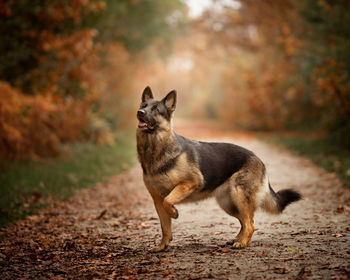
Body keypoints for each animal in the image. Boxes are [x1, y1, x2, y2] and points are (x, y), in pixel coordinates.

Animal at [136, 87, 300, 252]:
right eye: (143, 105)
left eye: (156, 109)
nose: (140, 112)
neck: (155, 149)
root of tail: (257, 157)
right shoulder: (157, 200)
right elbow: (165, 226)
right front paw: (162, 246)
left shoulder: (190, 182)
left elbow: (168, 201)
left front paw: (174, 213)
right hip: (229, 203)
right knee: (245, 221)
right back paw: (237, 239)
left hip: (238, 196)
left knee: (250, 224)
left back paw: (241, 243)